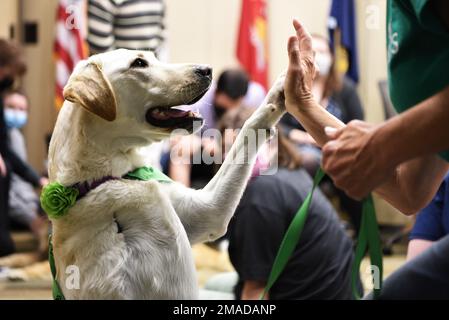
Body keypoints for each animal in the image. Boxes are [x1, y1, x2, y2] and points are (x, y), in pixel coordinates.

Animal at [46, 48, 284, 298]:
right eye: (139, 63)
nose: (207, 70)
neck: (104, 178)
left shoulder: (205, 210)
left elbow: (248, 130)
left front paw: (281, 90)